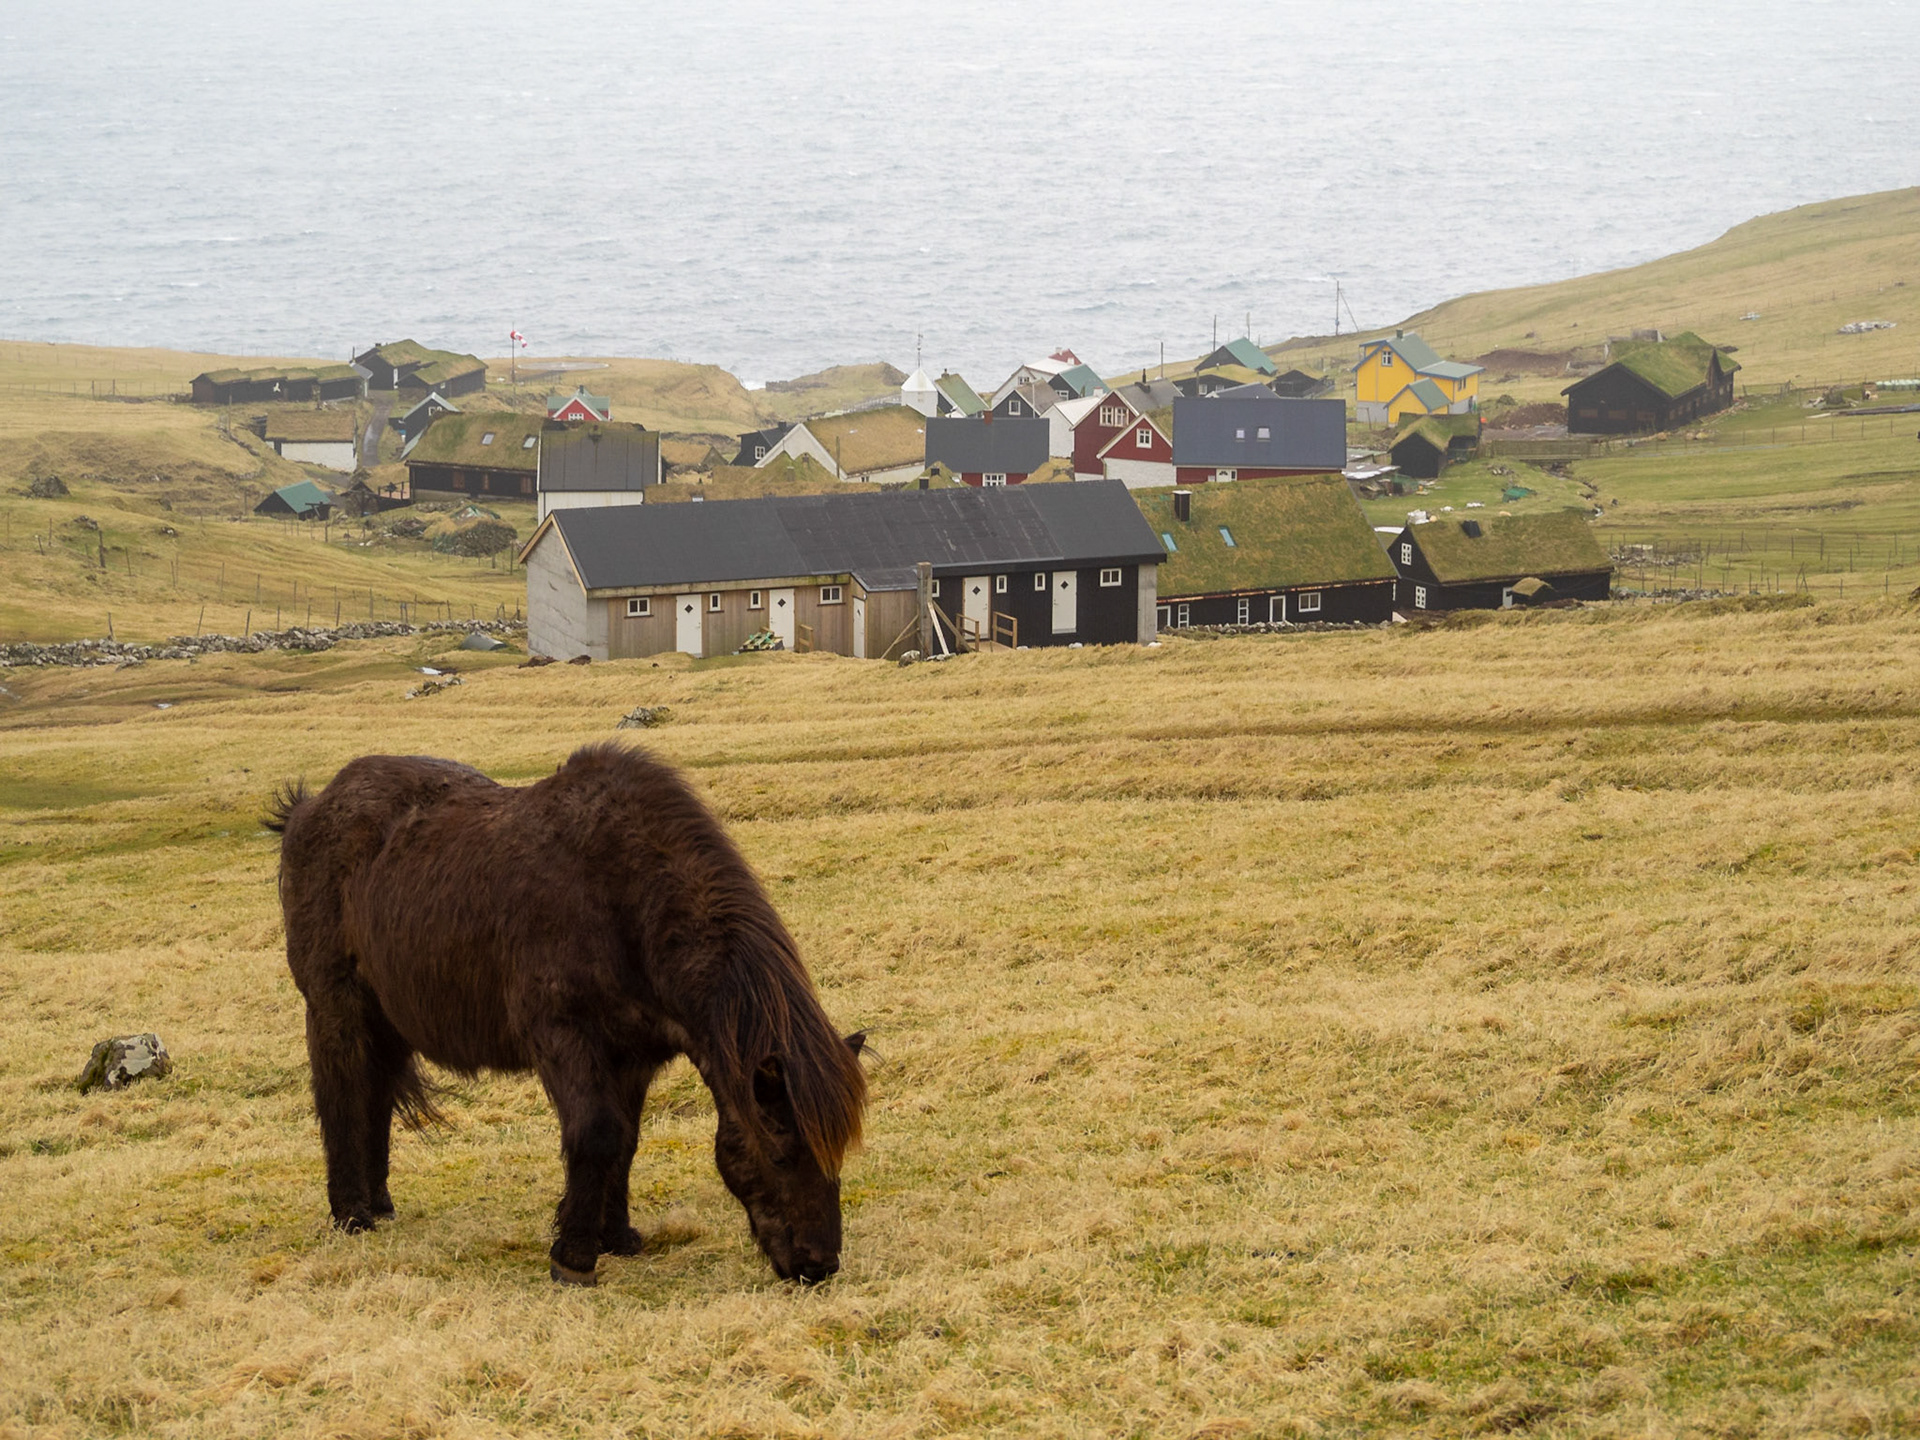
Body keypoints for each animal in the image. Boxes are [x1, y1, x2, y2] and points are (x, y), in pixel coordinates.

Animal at [267, 742, 867, 1287]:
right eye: (782, 1154)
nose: (819, 1265)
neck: (619, 897)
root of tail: (309, 808)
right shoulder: (563, 1037)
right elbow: (596, 1134)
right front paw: (574, 1257)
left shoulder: (635, 1055)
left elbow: (626, 1141)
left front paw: (616, 1236)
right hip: (337, 1007)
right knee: (342, 1094)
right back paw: (352, 1214)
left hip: (389, 1021)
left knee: (375, 1097)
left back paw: (380, 1203)